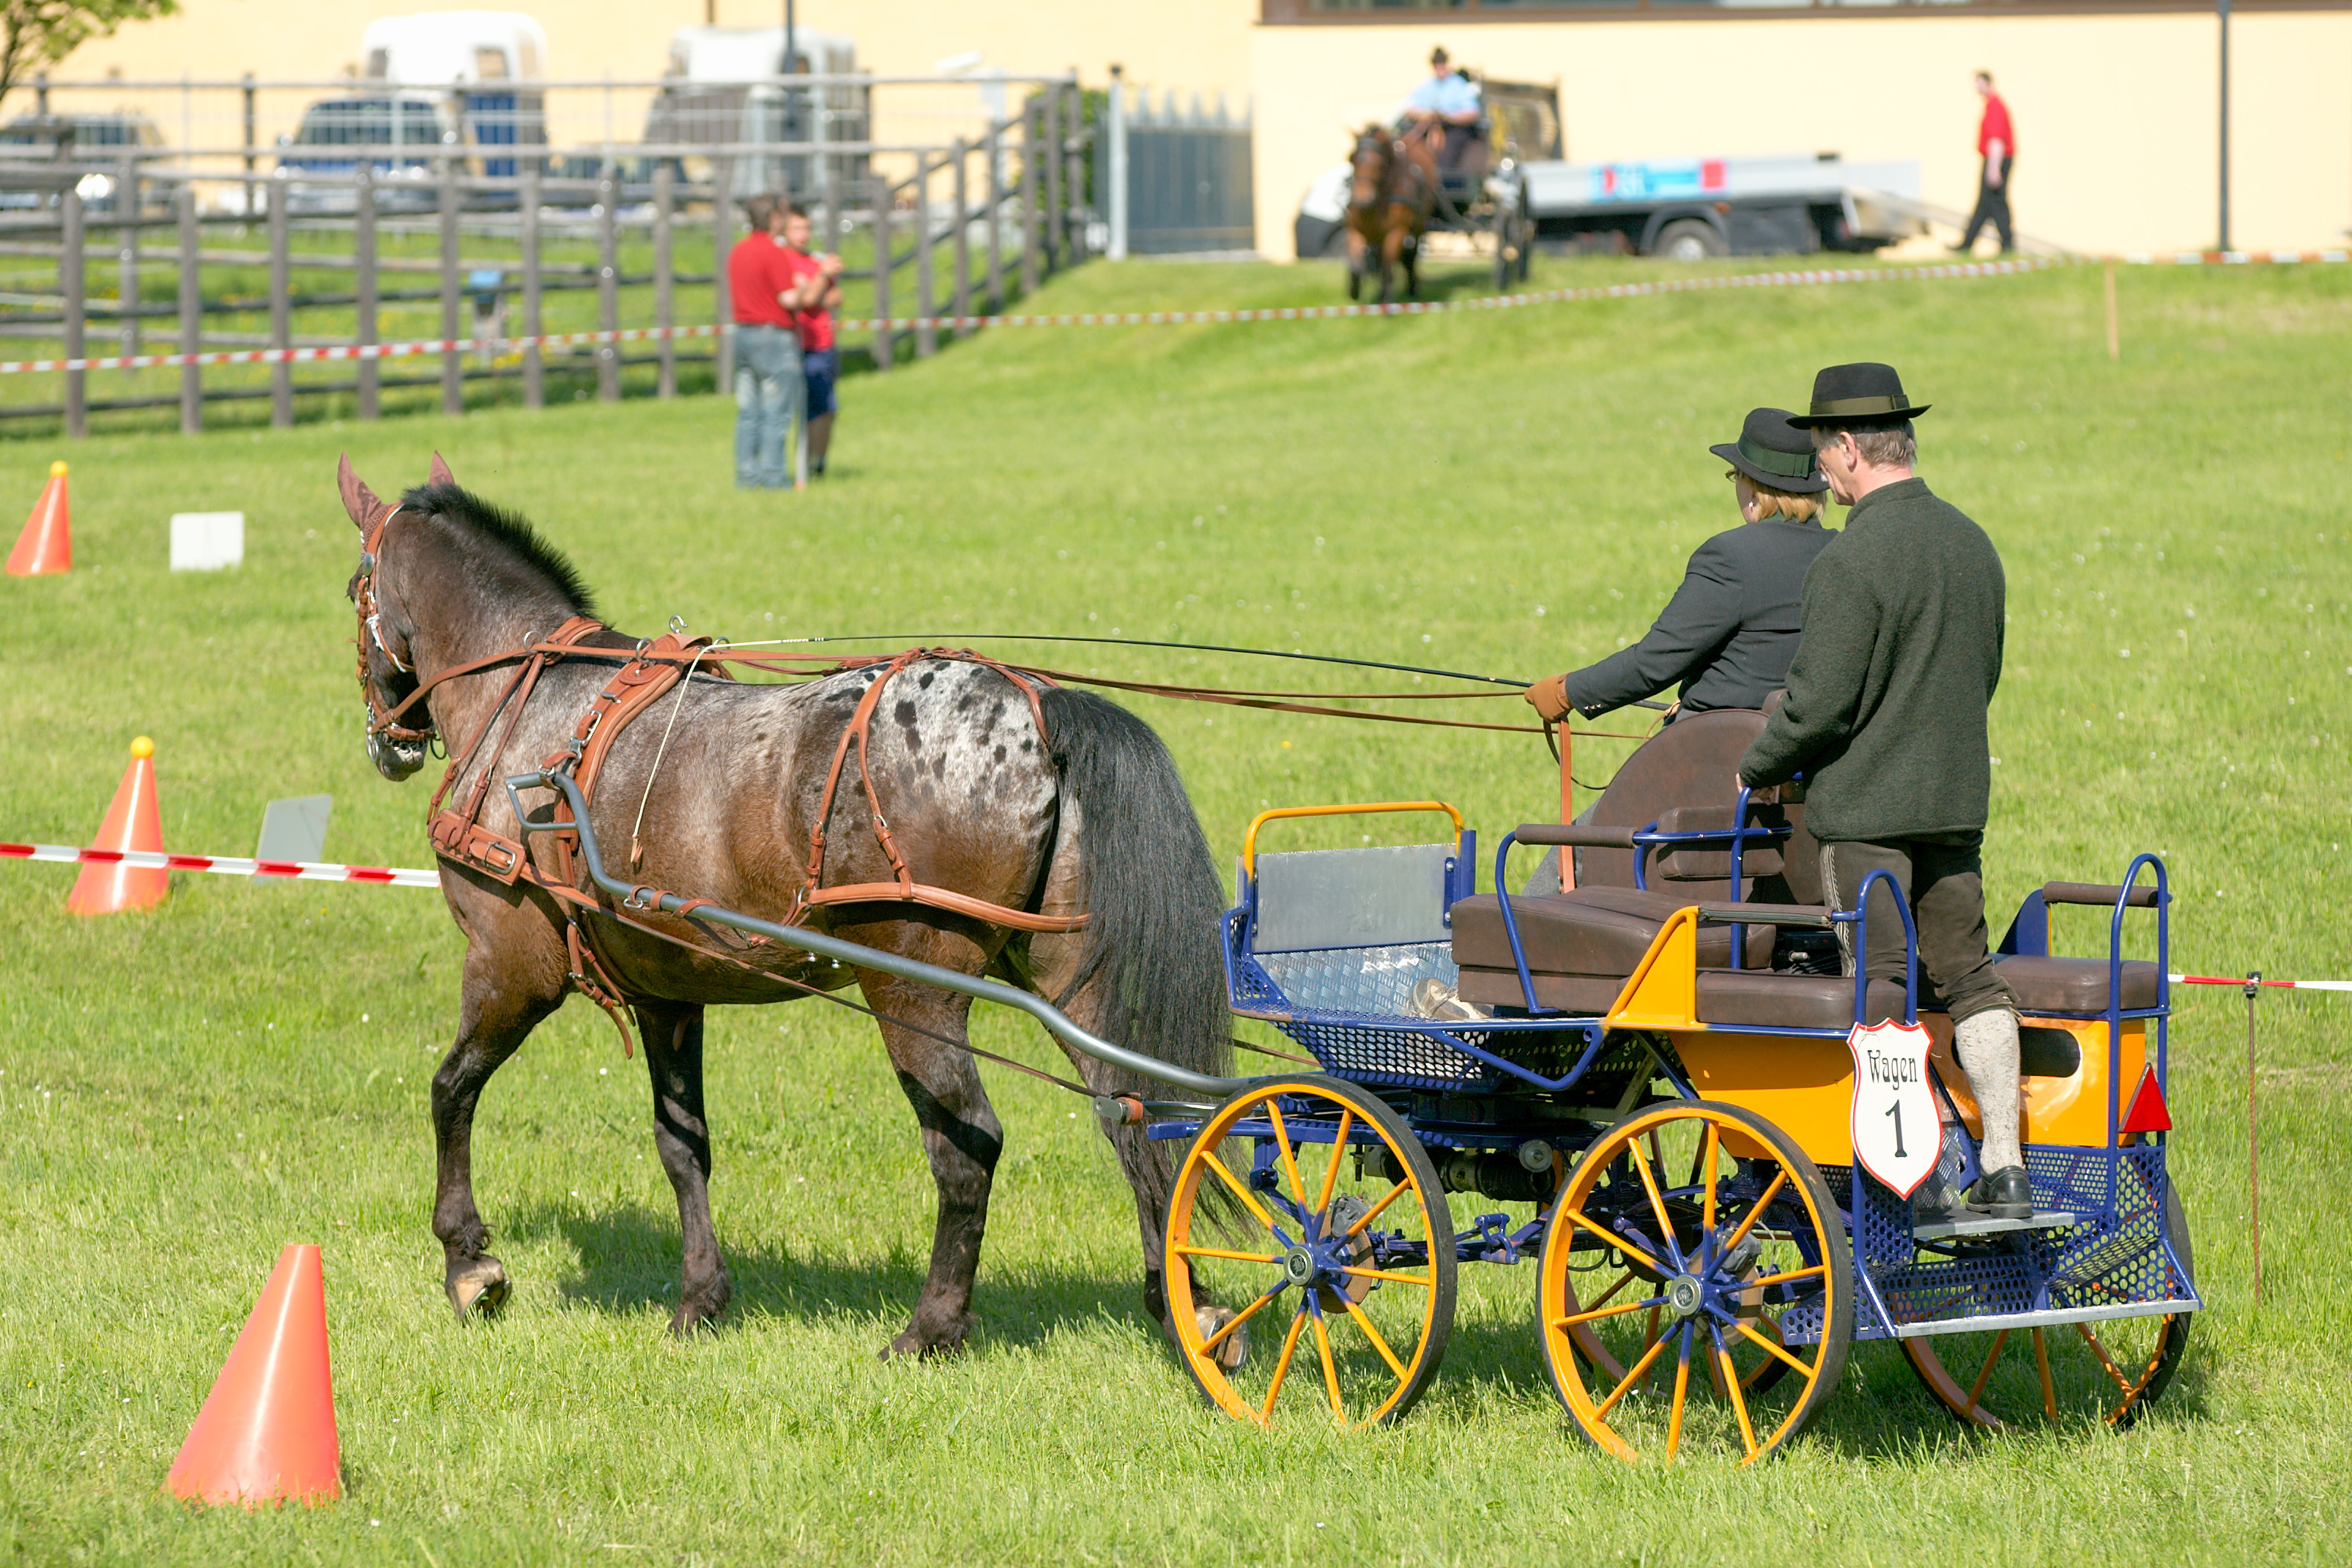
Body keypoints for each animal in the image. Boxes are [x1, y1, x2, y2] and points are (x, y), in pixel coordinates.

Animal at [343, 453, 1251, 1363]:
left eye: (356, 587)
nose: (386, 743)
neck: (534, 705)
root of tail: (1035, 711)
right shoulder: (667, 993)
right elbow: (682, 1143)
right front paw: (699, 1297)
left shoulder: (511, 965)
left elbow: (450, 1088)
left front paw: (469, 1262)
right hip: (1067, 978)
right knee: (1136, 1118)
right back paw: (1189, 1307)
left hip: (913, 991)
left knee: (969, 1145)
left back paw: (931, 1326)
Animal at [1345, 124, 1430, 305]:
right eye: (1352, 159)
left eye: (1379, 164)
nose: (1362, 200)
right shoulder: (1355, 230)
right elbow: (1356, 267)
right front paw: (1354, 292)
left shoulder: (1396, 232)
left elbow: (1387, 268)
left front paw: (1387, 299)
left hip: (1417, 226)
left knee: (1410, 257)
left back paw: (1412, 288)